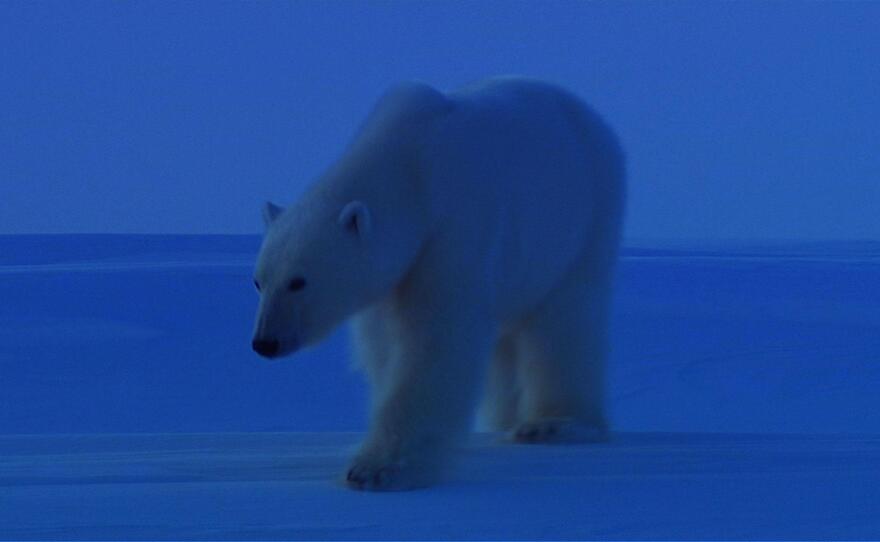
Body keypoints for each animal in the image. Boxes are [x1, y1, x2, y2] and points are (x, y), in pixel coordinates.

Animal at [251, 77, 626, 491]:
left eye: (298, 281)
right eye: (259, 282)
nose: (265, 342)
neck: (409, 167)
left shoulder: (455, 229)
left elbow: (434, 339)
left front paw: (378, 468)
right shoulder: (396, 270)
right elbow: (386, 345)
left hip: (583, 221)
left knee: (565, 320)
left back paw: (554, 423)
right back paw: (503, 420)